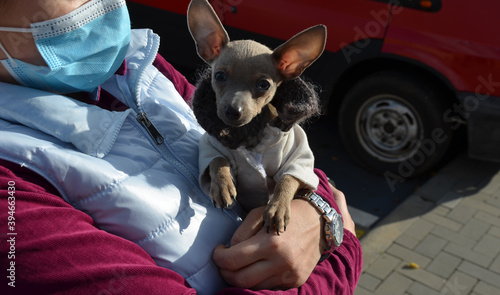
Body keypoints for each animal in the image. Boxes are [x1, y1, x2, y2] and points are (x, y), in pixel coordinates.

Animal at [189, 0, 326, 236]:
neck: (249, 133)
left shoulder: (298, 158)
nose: (233, 111)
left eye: (264, 85)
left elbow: (288, 179)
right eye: (219, 76)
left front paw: (278, 207)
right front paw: (222, 184)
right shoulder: (210, 144)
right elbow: (217, 159)